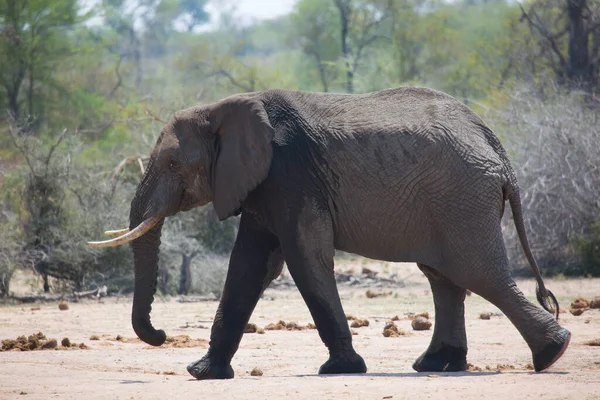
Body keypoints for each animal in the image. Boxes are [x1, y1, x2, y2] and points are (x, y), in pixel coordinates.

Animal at [90, 86, 572, 378]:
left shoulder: (291, 175)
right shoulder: (263, 184)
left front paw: (341, 370)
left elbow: (304, 258)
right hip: (453, 201)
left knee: (479, 274)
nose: (160, 336)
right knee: (445, 277)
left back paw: (552, 353)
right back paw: (437, 365)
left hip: (463, 197)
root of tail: (496, 147)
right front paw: (203, 373)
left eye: (172, 164)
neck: (226, 107)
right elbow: (247, 266)